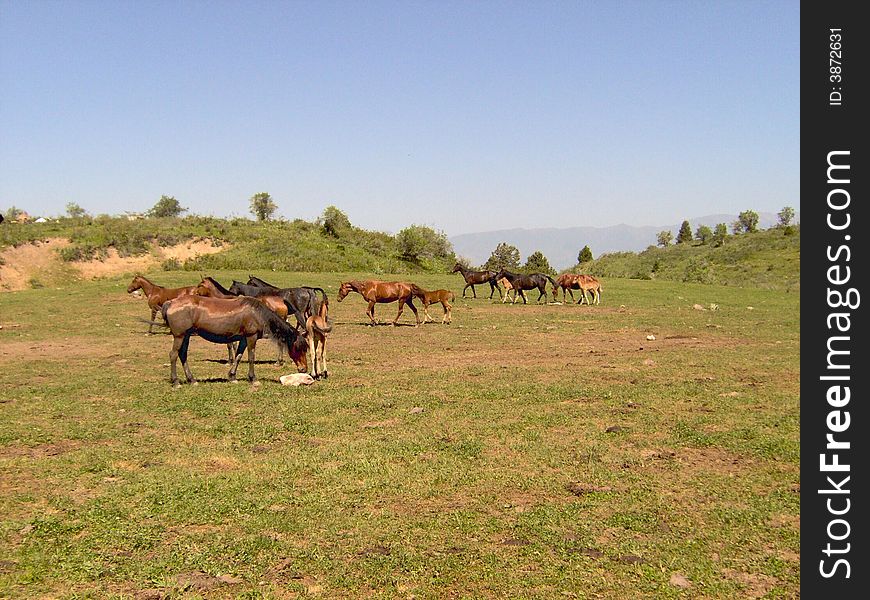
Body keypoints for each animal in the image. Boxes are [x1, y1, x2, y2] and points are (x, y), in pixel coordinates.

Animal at [162, 294, 308, 386]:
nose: (304, 369)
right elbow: (251, 357)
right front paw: (253, 378)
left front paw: (232, 376)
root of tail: (171, 302)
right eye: (299, 348)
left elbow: (238, 356)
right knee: (173, 355)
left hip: (185, 336)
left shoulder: (243, 339)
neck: (258, 314)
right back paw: (176, 381)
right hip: (179, 336)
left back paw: (191, 380)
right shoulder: (251, 337)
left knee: (183, 355)